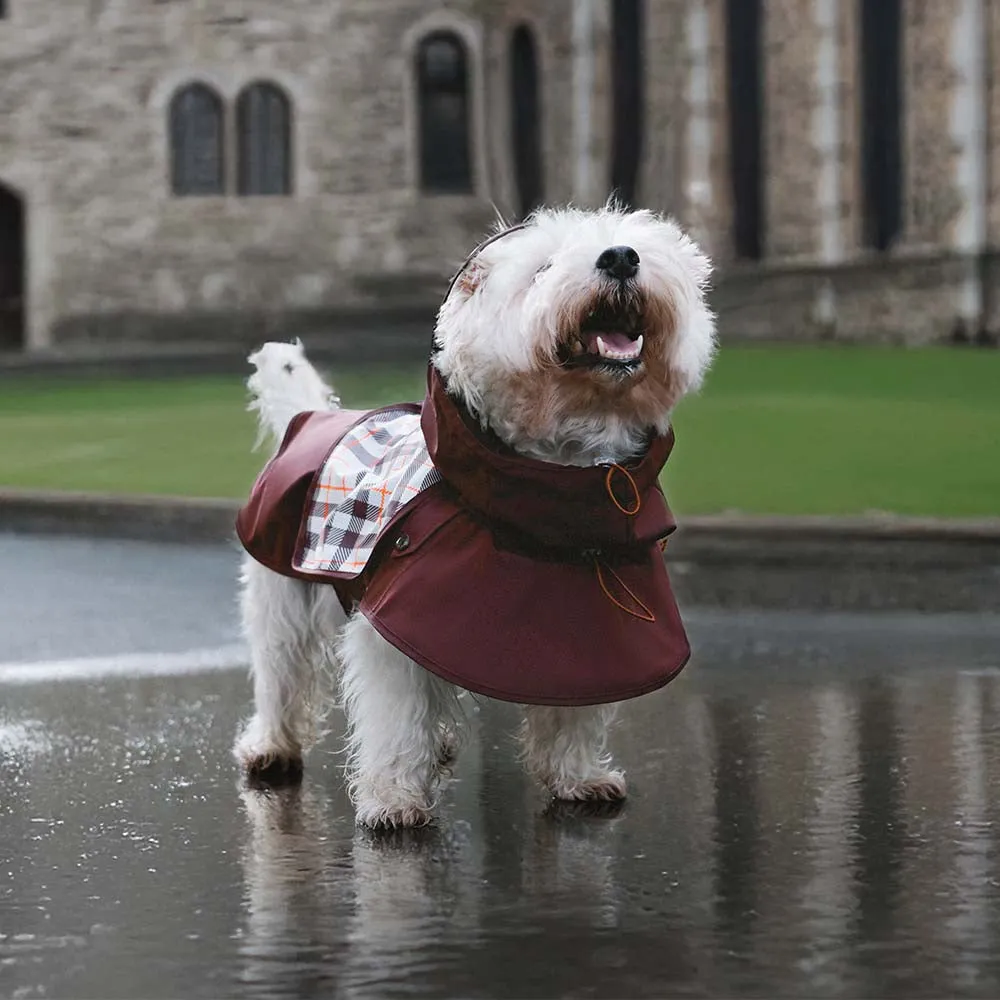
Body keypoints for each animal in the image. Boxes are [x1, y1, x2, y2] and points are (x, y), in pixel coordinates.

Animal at [234, 203, 720, 828]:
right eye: (542, 268)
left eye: (634, 244)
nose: (620, 258)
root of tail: (312, 416)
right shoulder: (395, 623)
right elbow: (396, 715)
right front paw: (393, 800)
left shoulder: (594, 628)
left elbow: (574, 713)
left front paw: (579, 778)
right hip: (281, 599)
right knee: (281, 676)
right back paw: (271, 747)